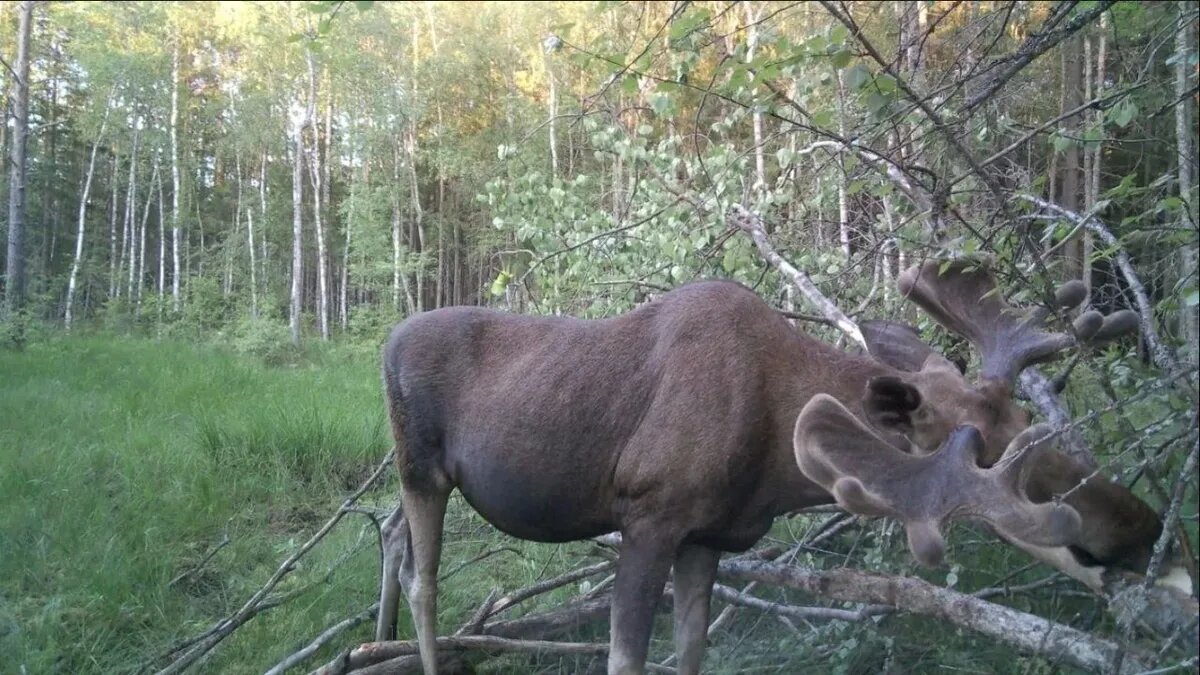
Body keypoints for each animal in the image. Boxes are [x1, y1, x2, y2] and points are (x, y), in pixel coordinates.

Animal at [372, 258, 1190, 672]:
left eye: (1026, 421)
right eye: (988, 457)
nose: (1146, 529)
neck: (772, 460)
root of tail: (385, 340)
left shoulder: (708, 535)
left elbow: (693, 649)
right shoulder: (649, 514)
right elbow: (627, 657)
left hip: (418, 477)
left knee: (390, 537)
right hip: (421, 466)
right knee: (424, 576)